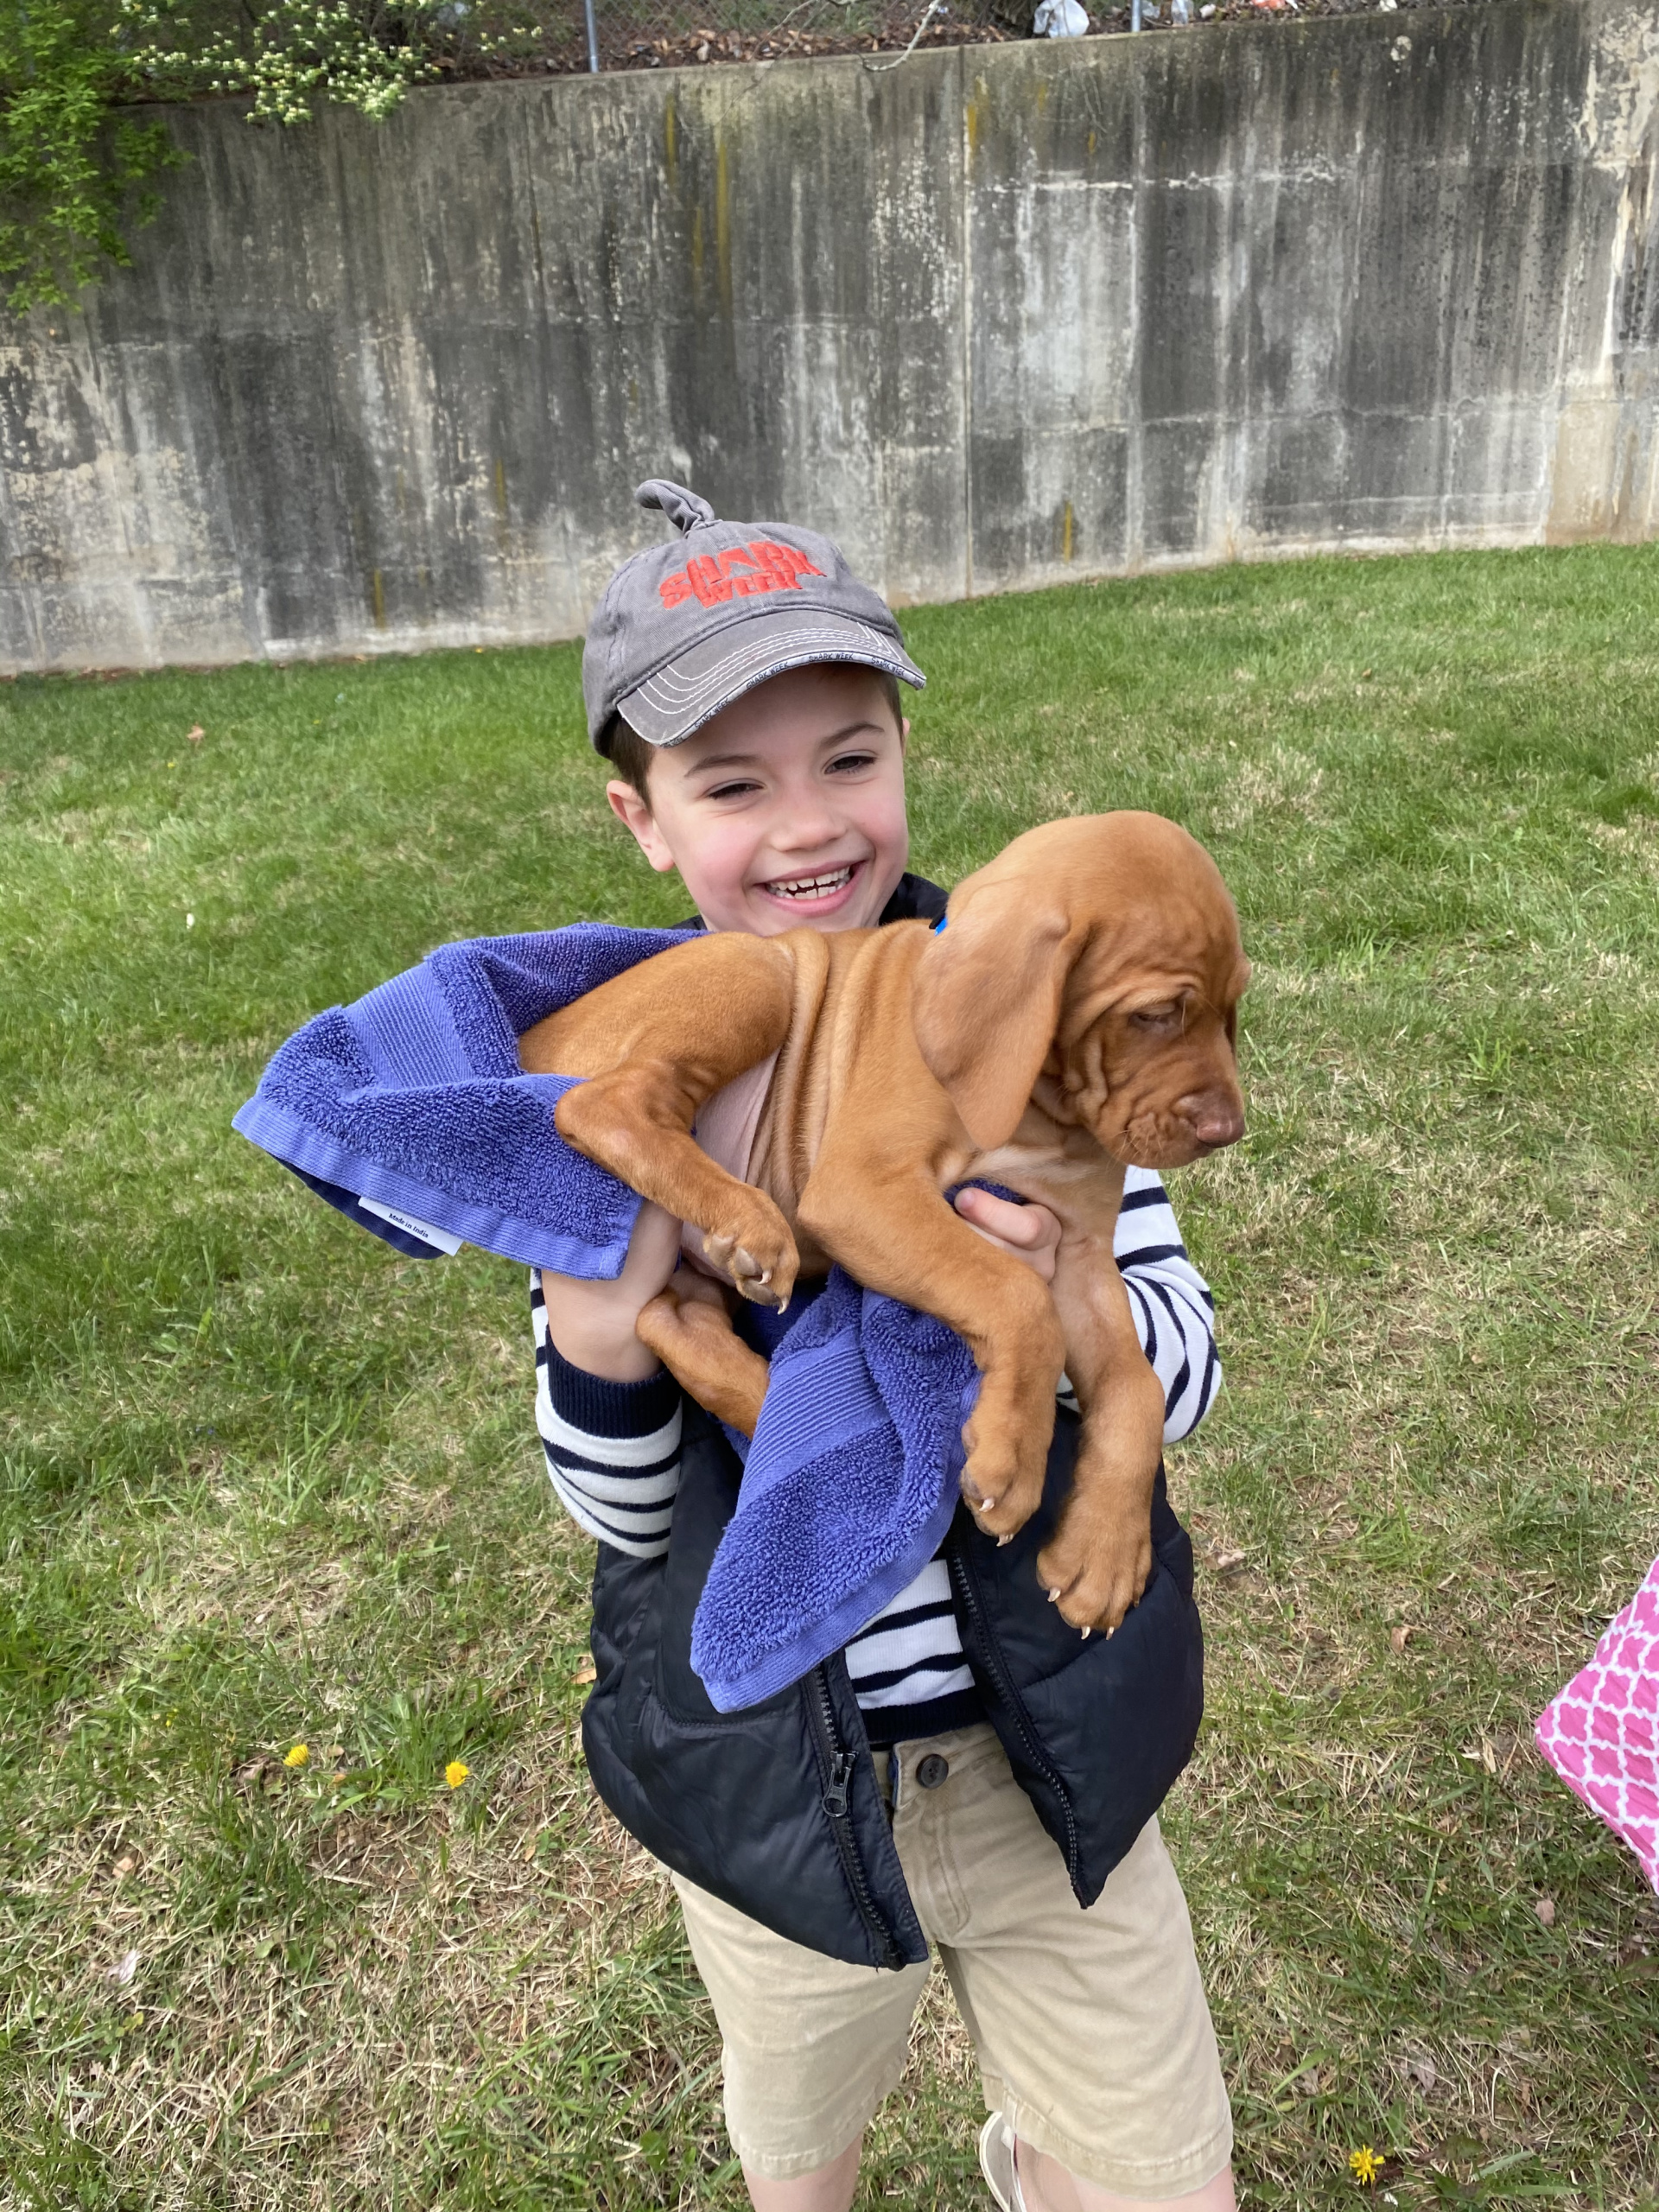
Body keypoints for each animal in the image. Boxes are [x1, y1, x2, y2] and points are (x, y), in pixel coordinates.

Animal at [519, 809, 1247, 1628]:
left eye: (1234, 1010)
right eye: (1154, 1015)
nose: (1228, 1131)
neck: (1038, 1102)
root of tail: (536, 1036)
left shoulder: (1083, 1249)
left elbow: (1138, 1387)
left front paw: (1105, 1554)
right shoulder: (861, 1189)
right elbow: (1016, 1294)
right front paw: (1013, 1455)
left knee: (678, 1324)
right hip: (759, 967)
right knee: (606, 1104)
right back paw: (749, 1222)